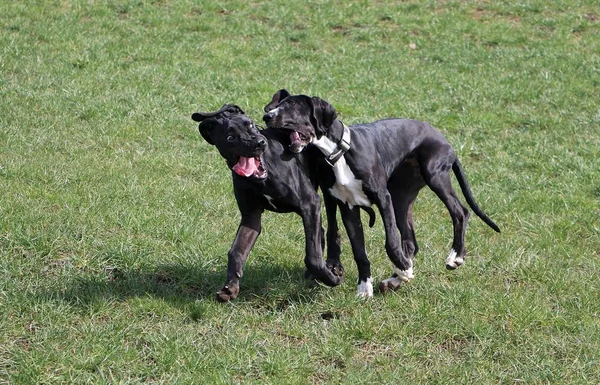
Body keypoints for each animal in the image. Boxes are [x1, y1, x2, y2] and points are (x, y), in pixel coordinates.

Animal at [190, 103, 344, 302]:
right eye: (230, 137)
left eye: (250, 125)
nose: (259, 143)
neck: (262, 176)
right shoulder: (251, 217)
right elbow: (236, 252)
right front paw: (230, 287)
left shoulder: (309, 203)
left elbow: (312, 256)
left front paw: (330, 278)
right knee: (321, 232)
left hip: (328, 188)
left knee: (332, 227)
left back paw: (333, 265)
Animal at [262, 90, 496, 294]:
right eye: (277, 105)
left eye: (293, 105)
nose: (267, 115)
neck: (339, 152)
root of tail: (445, 140)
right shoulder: (349, 209)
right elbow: (360, 252)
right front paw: (365, 288)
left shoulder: (384, 199)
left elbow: (391, 242)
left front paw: (402, 267)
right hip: (401, 197)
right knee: (410, 242)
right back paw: (395, 279)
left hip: (434, 175)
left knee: (460, 212)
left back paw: (454, 257)